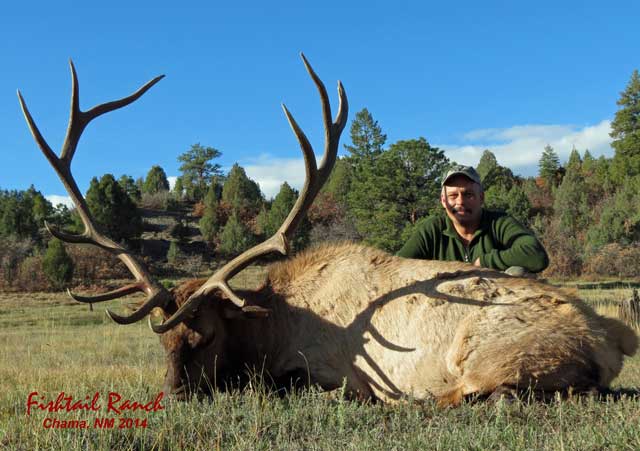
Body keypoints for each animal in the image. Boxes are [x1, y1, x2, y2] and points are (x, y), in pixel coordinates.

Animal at [19, 55, 638, 406]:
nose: (171, 395)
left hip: (490, 356)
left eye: (208, 335)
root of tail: (613, 337)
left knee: (488, 395)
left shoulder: (320, 368)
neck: (268, 327)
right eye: (163, 340)